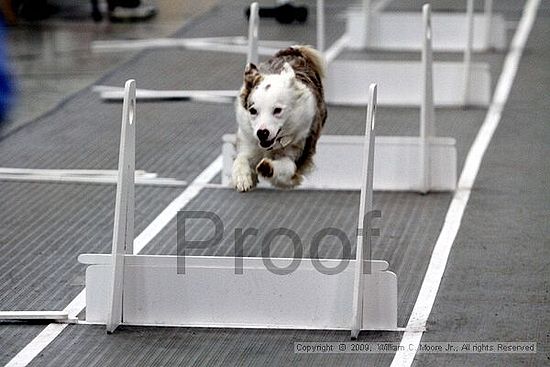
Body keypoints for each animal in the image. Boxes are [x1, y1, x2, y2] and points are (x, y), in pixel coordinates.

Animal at [233, 46, 328, 193]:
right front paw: (242, 178)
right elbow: (241, 158)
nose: (262, 133)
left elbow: (286, 166)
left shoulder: (298, 152)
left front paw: (267, 167)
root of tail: (293, 50)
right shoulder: (247, 142)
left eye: (277, 110)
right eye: (253, 111)